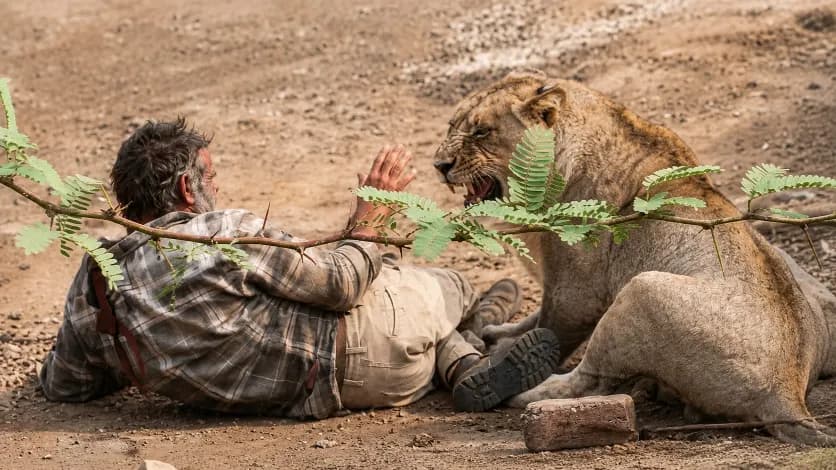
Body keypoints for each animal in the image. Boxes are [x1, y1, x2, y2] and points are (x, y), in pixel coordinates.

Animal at [433, 70, 836, 446]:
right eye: (452, 125)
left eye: (482, 132)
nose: (440, 165)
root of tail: (787, 394)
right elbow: (535, 316)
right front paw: (500, 333)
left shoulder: (577, 290)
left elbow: (553, 325)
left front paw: (507, 353)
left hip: (643, 290)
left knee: (590, 381)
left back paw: (520, 390)